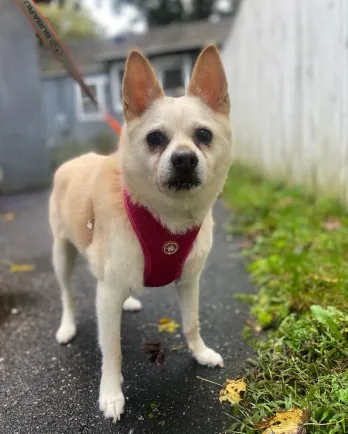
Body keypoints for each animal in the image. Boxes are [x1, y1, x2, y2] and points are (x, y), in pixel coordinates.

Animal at [49, 45, 232, 422]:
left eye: (204, 136)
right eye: (155, 139)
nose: (184, 159)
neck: (167, 217)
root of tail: (73, 161)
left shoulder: (188, 282)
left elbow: (191, 323)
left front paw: (200, 353)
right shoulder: (107, 296)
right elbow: (112, 349)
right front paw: (111, 393)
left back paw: (131, 300)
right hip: (62, 255)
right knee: (68, 295)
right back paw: (67, 326)